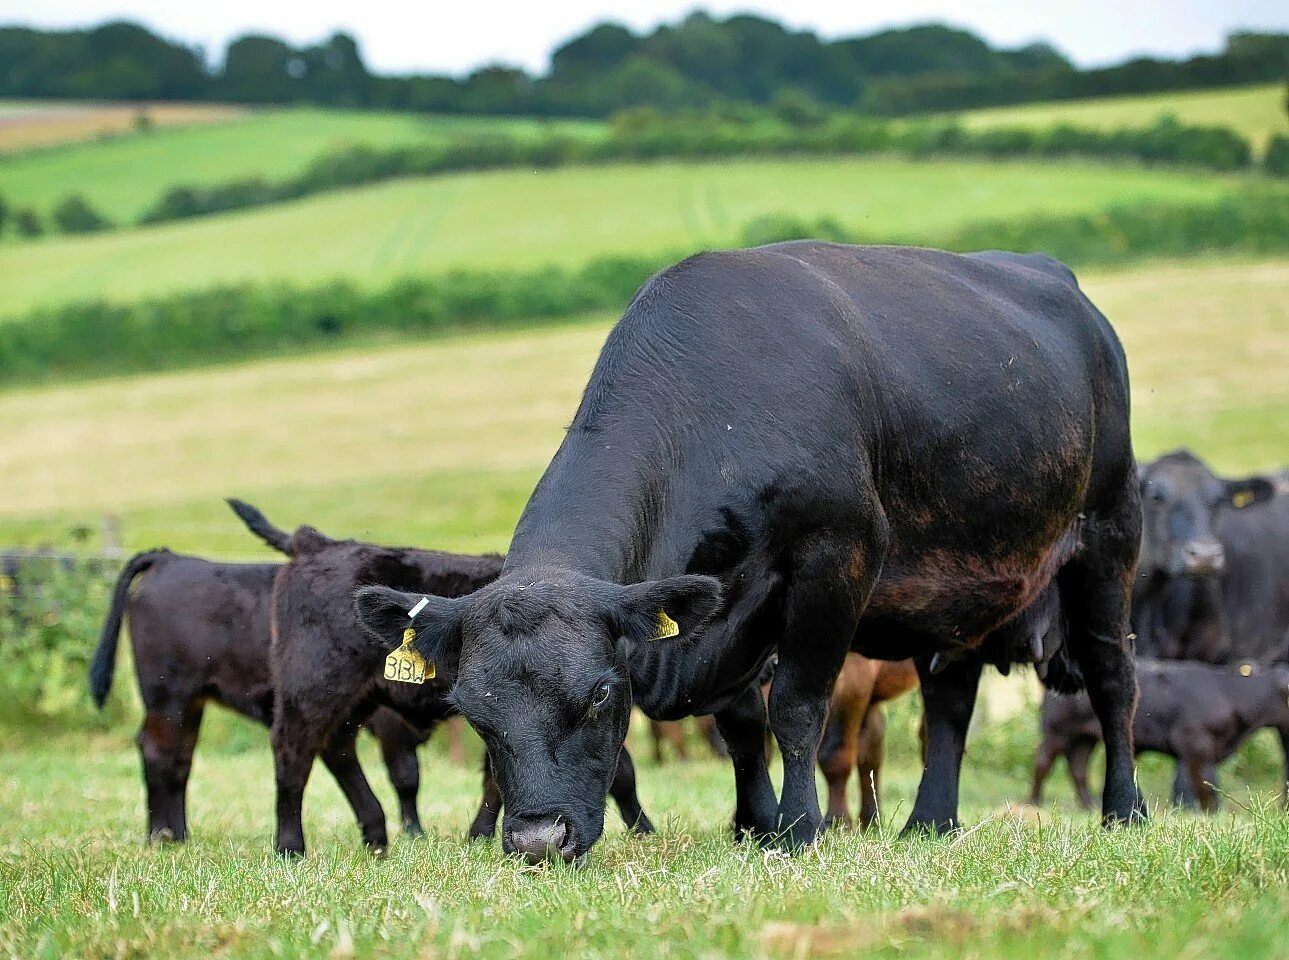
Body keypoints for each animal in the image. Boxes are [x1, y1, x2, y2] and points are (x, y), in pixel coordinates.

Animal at [222, 497, 654, 855]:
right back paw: (291, 848)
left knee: (336, 748)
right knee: (293, 752)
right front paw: (644, 830)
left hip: (353, 699)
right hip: (312, 686)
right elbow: (619, 771)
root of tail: (316, 544)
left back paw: (375, 836)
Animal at [353, 243, 1139, 865]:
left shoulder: (835, 559)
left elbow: (793, 705)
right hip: (966, 583)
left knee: (1112, 677)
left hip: (1108, 535)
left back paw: (1124, 808)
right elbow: (740, 727)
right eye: (472, 710)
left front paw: (798, 830)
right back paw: (928, 822)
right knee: (949, 697)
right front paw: (755, 825)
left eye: (601, 693)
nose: (538, 840)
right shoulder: (726, 612)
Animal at [1031, 659, 1289, 809]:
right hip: (1058, 732)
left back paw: (1088, 805)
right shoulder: (1196, 744)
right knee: (1043, 761)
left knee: (1078, 768)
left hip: (1083, 737)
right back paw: (1035, 802)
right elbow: (1205, 785)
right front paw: (1212, 813)